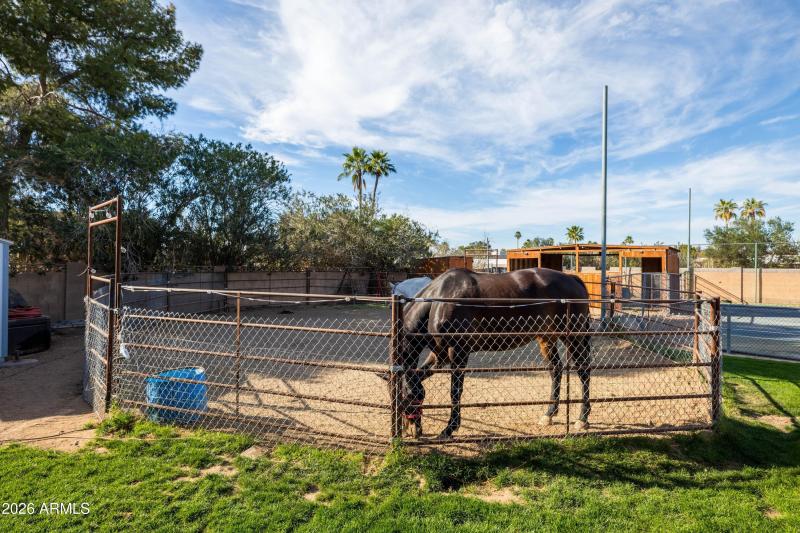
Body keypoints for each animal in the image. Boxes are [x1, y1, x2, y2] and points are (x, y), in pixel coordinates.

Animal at [396, 267, 592, 439]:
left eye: (408, 400)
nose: (411, 430)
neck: (440, 300)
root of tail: (572, 279)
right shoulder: (439, 355)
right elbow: (419, 376)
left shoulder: (458, 352)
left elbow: (455, 391)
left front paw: (449, 428)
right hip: (547, 338)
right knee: (556, 370)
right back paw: (549, 414)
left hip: (573, 337)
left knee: (583, 371)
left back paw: (582, 418)